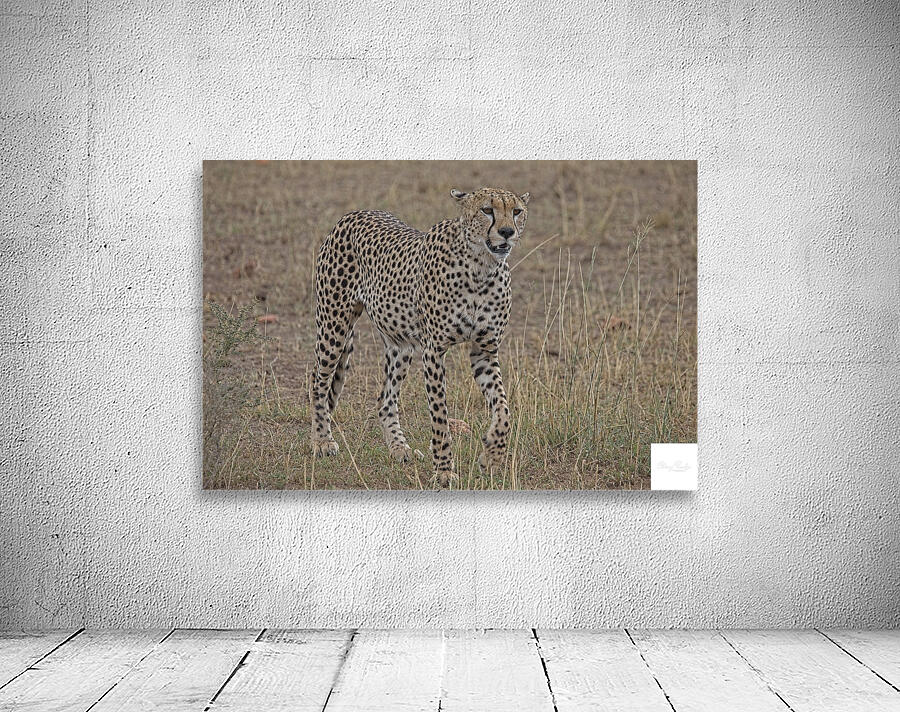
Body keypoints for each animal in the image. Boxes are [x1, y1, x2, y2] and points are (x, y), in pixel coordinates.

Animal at [310, 187, 530, 487]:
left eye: (516, 211)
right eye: (487, 210)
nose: (507, 232)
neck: (481, 267)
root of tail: (354, 213)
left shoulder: (483, 350)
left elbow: (504, 409)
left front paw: (493, 455)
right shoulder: (434, 350)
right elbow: (439, 416)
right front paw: (444, 470)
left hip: (399, 344)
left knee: (385, 399)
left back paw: (399, 448)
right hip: (334, 326)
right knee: (318, 381)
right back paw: (321, 440)